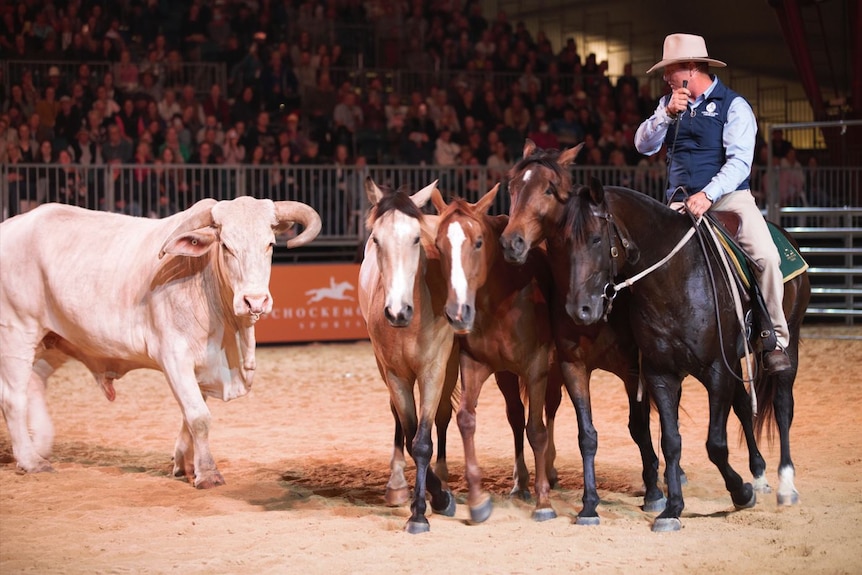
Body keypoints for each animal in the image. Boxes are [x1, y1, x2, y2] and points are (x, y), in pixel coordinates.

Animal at [564, 178, 812, 532]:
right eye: (566, 241)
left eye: (596, 239)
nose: (580, 308)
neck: (675, 279)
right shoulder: (661, 374)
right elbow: (671, 441)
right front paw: (672, 509)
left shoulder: (717, 370)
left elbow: (715, 444)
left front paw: (740, 493)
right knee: (742, 406)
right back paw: (760, 475)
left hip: (787, 343)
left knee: (782, 406)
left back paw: (786, 486)